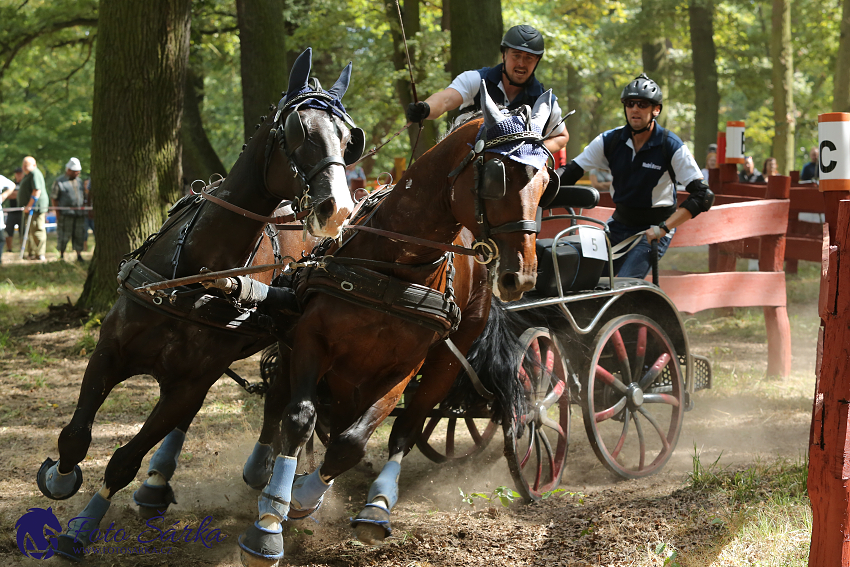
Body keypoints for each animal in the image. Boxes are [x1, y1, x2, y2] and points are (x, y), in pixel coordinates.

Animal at [31, 48, 358, 564]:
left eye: (348, 139)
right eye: (298, 129)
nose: (338, 210)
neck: (193, 274)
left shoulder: (186, 382)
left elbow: (123, 460)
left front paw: (82, 527)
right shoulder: (110, 352)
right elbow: (76, 435)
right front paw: (61, 479)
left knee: (279, 401)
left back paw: (261, 474)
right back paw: (162, 484)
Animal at [238, 82, 556, 564]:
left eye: (545, 184)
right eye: (498, 174)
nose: (520, 276)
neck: (396, 265)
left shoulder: (405, 365)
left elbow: (353, 441)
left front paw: (306, 498)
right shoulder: (311, 339)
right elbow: (299, 416)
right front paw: (271, 520)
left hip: (444, 363)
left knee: (405, 427)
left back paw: (376, 505)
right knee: (283, 400)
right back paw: (265, 470)